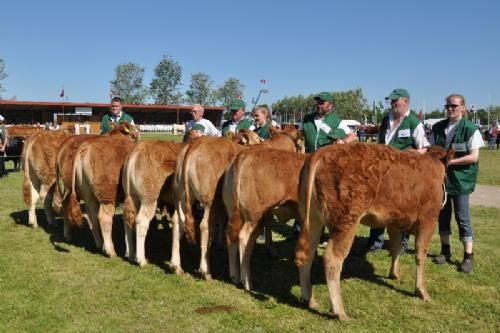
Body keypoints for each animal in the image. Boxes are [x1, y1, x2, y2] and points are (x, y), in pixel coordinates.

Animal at [67, 123, 139, 255]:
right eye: (133, 133)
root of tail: (87, 146)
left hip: (88, 194)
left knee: (91, 216)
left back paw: (100, 245)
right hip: (108, 195)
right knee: (104, 217)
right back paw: (110, 251)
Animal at [294, 144, 452, 320]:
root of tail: (321, 152)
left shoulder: (393, 220)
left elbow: (396, 247)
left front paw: (394, 274)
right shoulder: (428, 218)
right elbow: (420, 254)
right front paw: (422, 291)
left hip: (312, 219)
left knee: (305, 254)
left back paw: (309, 299)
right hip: (346, 220)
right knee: (332, 259)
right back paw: (340, 311)